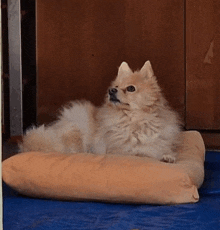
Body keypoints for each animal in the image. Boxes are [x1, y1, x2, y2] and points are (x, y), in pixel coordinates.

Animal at [20, 60, 182, 163]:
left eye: (131, 88)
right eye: (115, 87)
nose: (111, 91)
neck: (135, 120)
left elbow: (160, 148)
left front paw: (167, 156)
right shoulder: (120, 150)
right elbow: (142, 151)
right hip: (79, 123)